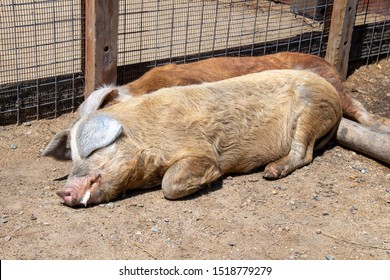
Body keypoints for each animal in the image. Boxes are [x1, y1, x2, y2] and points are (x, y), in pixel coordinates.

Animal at [45, 69, 342, 207]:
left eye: (92, 151)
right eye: (73, 159)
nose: (62, 191)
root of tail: (335, 98)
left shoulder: (199, 149)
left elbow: (170, 184)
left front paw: (207, 182)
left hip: (312, 108)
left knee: (304, 153)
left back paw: (270, 172)